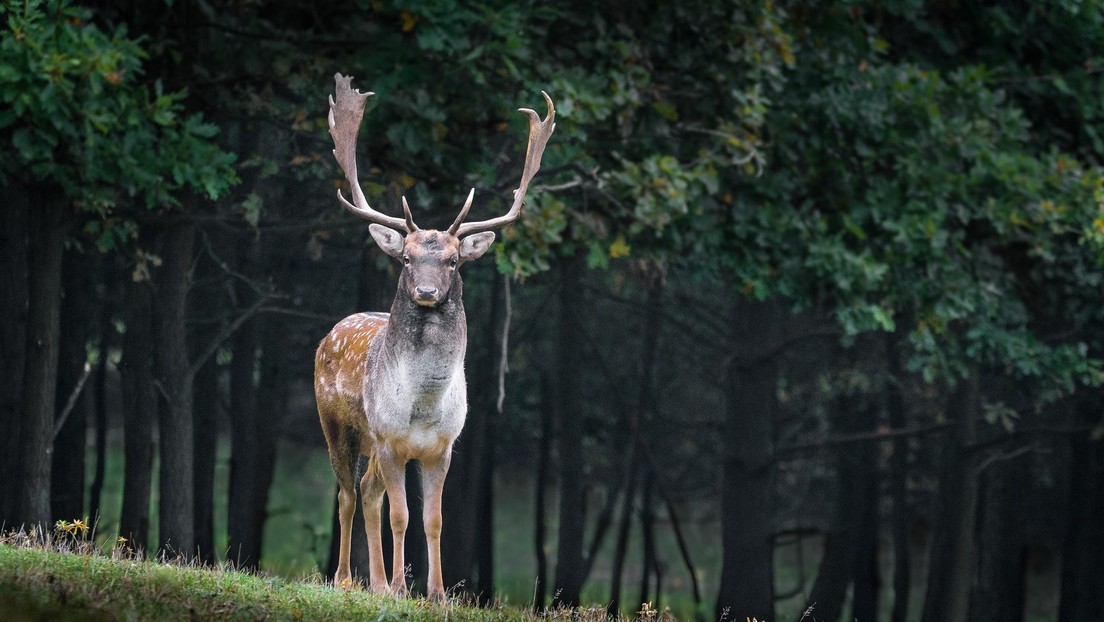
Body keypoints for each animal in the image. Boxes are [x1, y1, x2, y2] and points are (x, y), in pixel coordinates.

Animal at [311, 74, 552, 605]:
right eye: (405, 258)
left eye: (453, 261)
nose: (425, 291)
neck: (422, 406)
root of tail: (331, 333)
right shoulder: (390, 440)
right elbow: (402, 515)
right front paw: (403, 588)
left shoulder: (442, 448)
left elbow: (434, 519)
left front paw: (437, 592)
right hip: (338, 425)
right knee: (346, 493)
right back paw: (346, 578)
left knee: (368, 492)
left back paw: (377, 582)